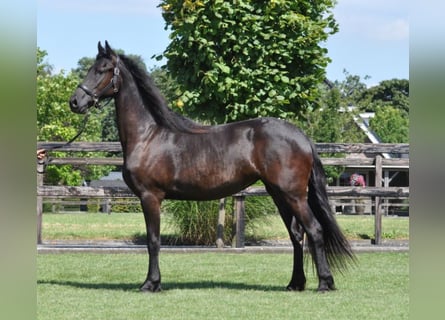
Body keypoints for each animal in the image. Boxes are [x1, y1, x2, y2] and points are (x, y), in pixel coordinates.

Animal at [68, 42, 354, 292]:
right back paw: (295, 283)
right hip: (280, 195)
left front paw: (151, 284)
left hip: (293, 195)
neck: (147, 136)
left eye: (103, 69)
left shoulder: (150, 197)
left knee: (314, 230)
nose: (75, 102)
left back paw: (324, 283)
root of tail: (301, 136)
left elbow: (153, 241)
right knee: (297, 235)